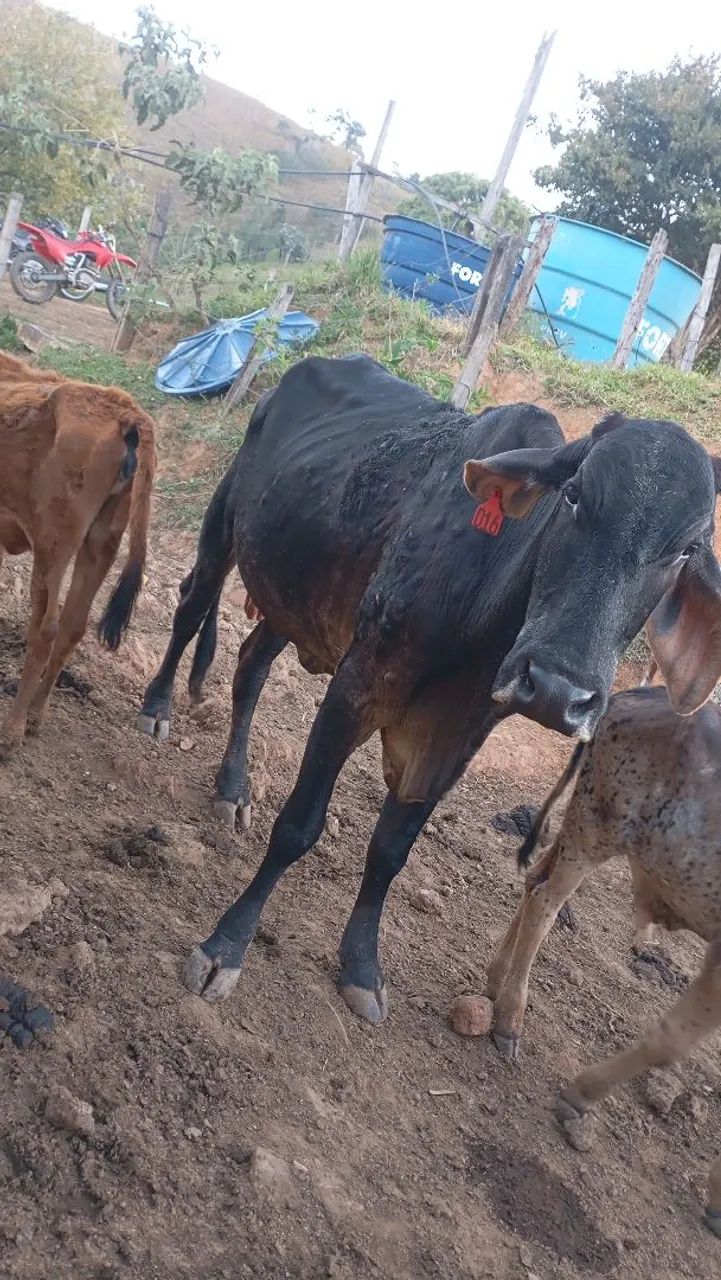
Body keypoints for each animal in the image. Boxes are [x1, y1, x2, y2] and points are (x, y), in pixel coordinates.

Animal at [0, 354, 156, 757]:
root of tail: (126, 410)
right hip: (100, 543)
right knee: (72, 626)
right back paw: (36, 716)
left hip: (56, 543)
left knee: (47, 629)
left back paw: (12, 730)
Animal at [137, 353, 721, 1020]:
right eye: (574, 495)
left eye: (686, 550)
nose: (555, 689)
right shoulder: (357, 687)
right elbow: (299, 826)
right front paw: (226, 946)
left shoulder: (456, 740)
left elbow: (391, 851)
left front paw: (361, 967)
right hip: (225, 527)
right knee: (191, 607)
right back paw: (156, 708)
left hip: (293, 597)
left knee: (251, 664)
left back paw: (234, 787)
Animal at [485, 685, 721, 1238]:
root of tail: (637, 691)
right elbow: (669, 1042)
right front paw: (581, 1092)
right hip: (597, 826)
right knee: (545, 900)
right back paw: (509, 1018)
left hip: (580, 823)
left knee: (535, 878)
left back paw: (495, 982)